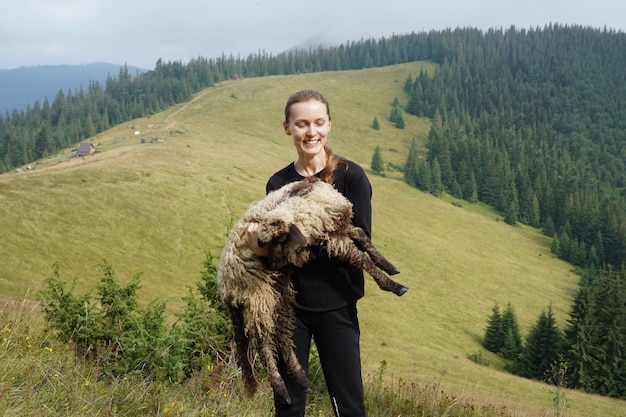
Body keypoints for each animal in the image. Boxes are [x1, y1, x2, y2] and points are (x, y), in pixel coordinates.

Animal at [217, 175, 408, 404]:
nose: (273, 264)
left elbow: (362, 235)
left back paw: (300, 379)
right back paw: (281, 389)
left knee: (282, 332)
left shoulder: (336, 230)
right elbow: (361, 259)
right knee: (263, 342)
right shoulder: (332, 240)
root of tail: (225, 288)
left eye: (280, 240)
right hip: (258, 293)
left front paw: (389, 266)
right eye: (262, 243)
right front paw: (393, 286)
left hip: (278, 289)